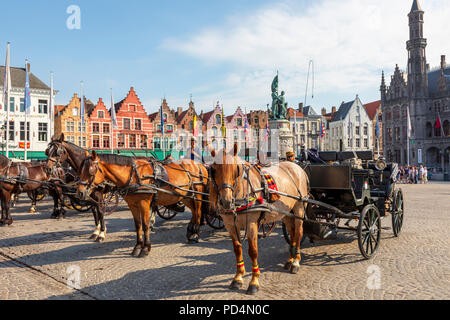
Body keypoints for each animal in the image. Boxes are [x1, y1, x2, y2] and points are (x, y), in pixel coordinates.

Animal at [76, 150, 209, 258]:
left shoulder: (144, 203)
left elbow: (145, 225)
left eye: (91, 170)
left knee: (198, 212)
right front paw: (138, 247)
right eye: (80, 170)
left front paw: (146, 248)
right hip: (185, 195)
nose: (80, 193)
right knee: (194, 211)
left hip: (197, 194)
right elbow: (138, 225)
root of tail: (199, 164)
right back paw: (190, 231)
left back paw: (195, 235)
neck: (134, 175)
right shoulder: (132, 205)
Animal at [207, 145, 310, 296]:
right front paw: (238, 278)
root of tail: (296, 166)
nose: (226, 202)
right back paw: (290, 260)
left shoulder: (251, 224)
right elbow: (237, 249)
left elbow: (253, 251)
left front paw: (254, 282)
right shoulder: (230, 224)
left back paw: (296, 262)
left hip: (299, 209)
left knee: (298, 233)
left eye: (236, 170)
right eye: (214, 170)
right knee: (292, 232)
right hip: (285, 213)